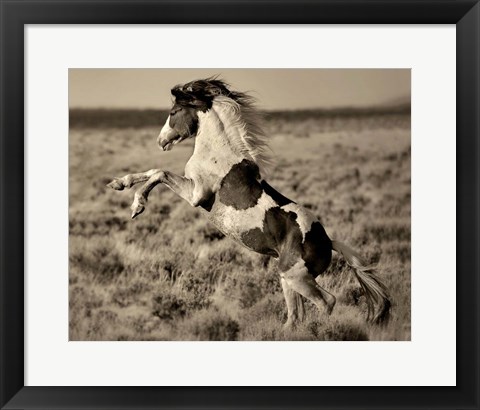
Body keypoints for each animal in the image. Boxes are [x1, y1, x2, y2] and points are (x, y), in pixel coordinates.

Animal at [108, 77, 390, 326]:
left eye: (174, 111)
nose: (161, 141)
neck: (218, 152)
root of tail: (328, 241)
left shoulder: (196, 194)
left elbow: (159, 173)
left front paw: (137, 206)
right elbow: (152, 172)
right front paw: (119, 183)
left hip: (297, 277)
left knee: (327, 302)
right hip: (286, 278)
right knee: (295, 316)